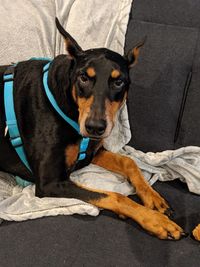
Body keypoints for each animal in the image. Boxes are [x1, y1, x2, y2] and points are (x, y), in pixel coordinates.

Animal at [0, 18, 185, 241]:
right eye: (83, 77)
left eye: (118, 81)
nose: (95, 127)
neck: (67, 103)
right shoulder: (49, 182)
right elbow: (116, 195)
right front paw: (155, 221)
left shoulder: (91, 153)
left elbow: (128, 161)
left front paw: (153, 198)